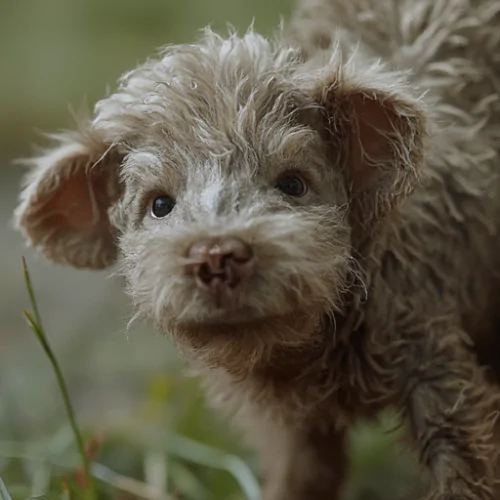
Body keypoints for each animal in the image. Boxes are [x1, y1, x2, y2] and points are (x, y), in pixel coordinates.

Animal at [12, 0, 500, 500]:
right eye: (160, 205)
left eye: (293, 184)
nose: (216, 253)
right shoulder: (291, 425)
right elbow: (303, 473)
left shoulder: (430, 344)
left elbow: (462, 461)